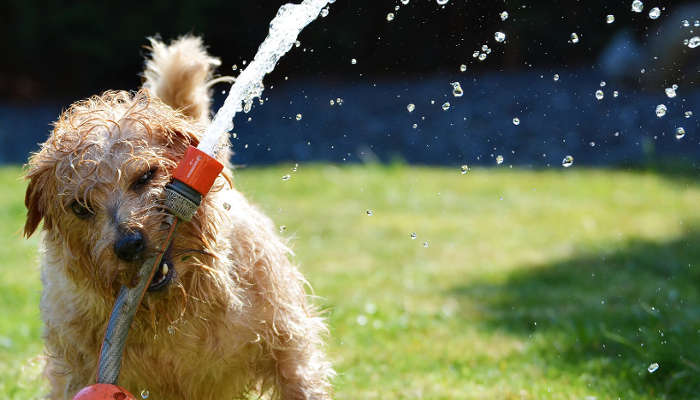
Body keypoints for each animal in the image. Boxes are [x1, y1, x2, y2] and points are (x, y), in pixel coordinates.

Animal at [23, 35, 334, 400]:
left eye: (146, 176)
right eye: (80, 207)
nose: (129, 244)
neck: (175, 311)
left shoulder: (288, 346)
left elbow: (299, 379)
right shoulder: (76, 369)